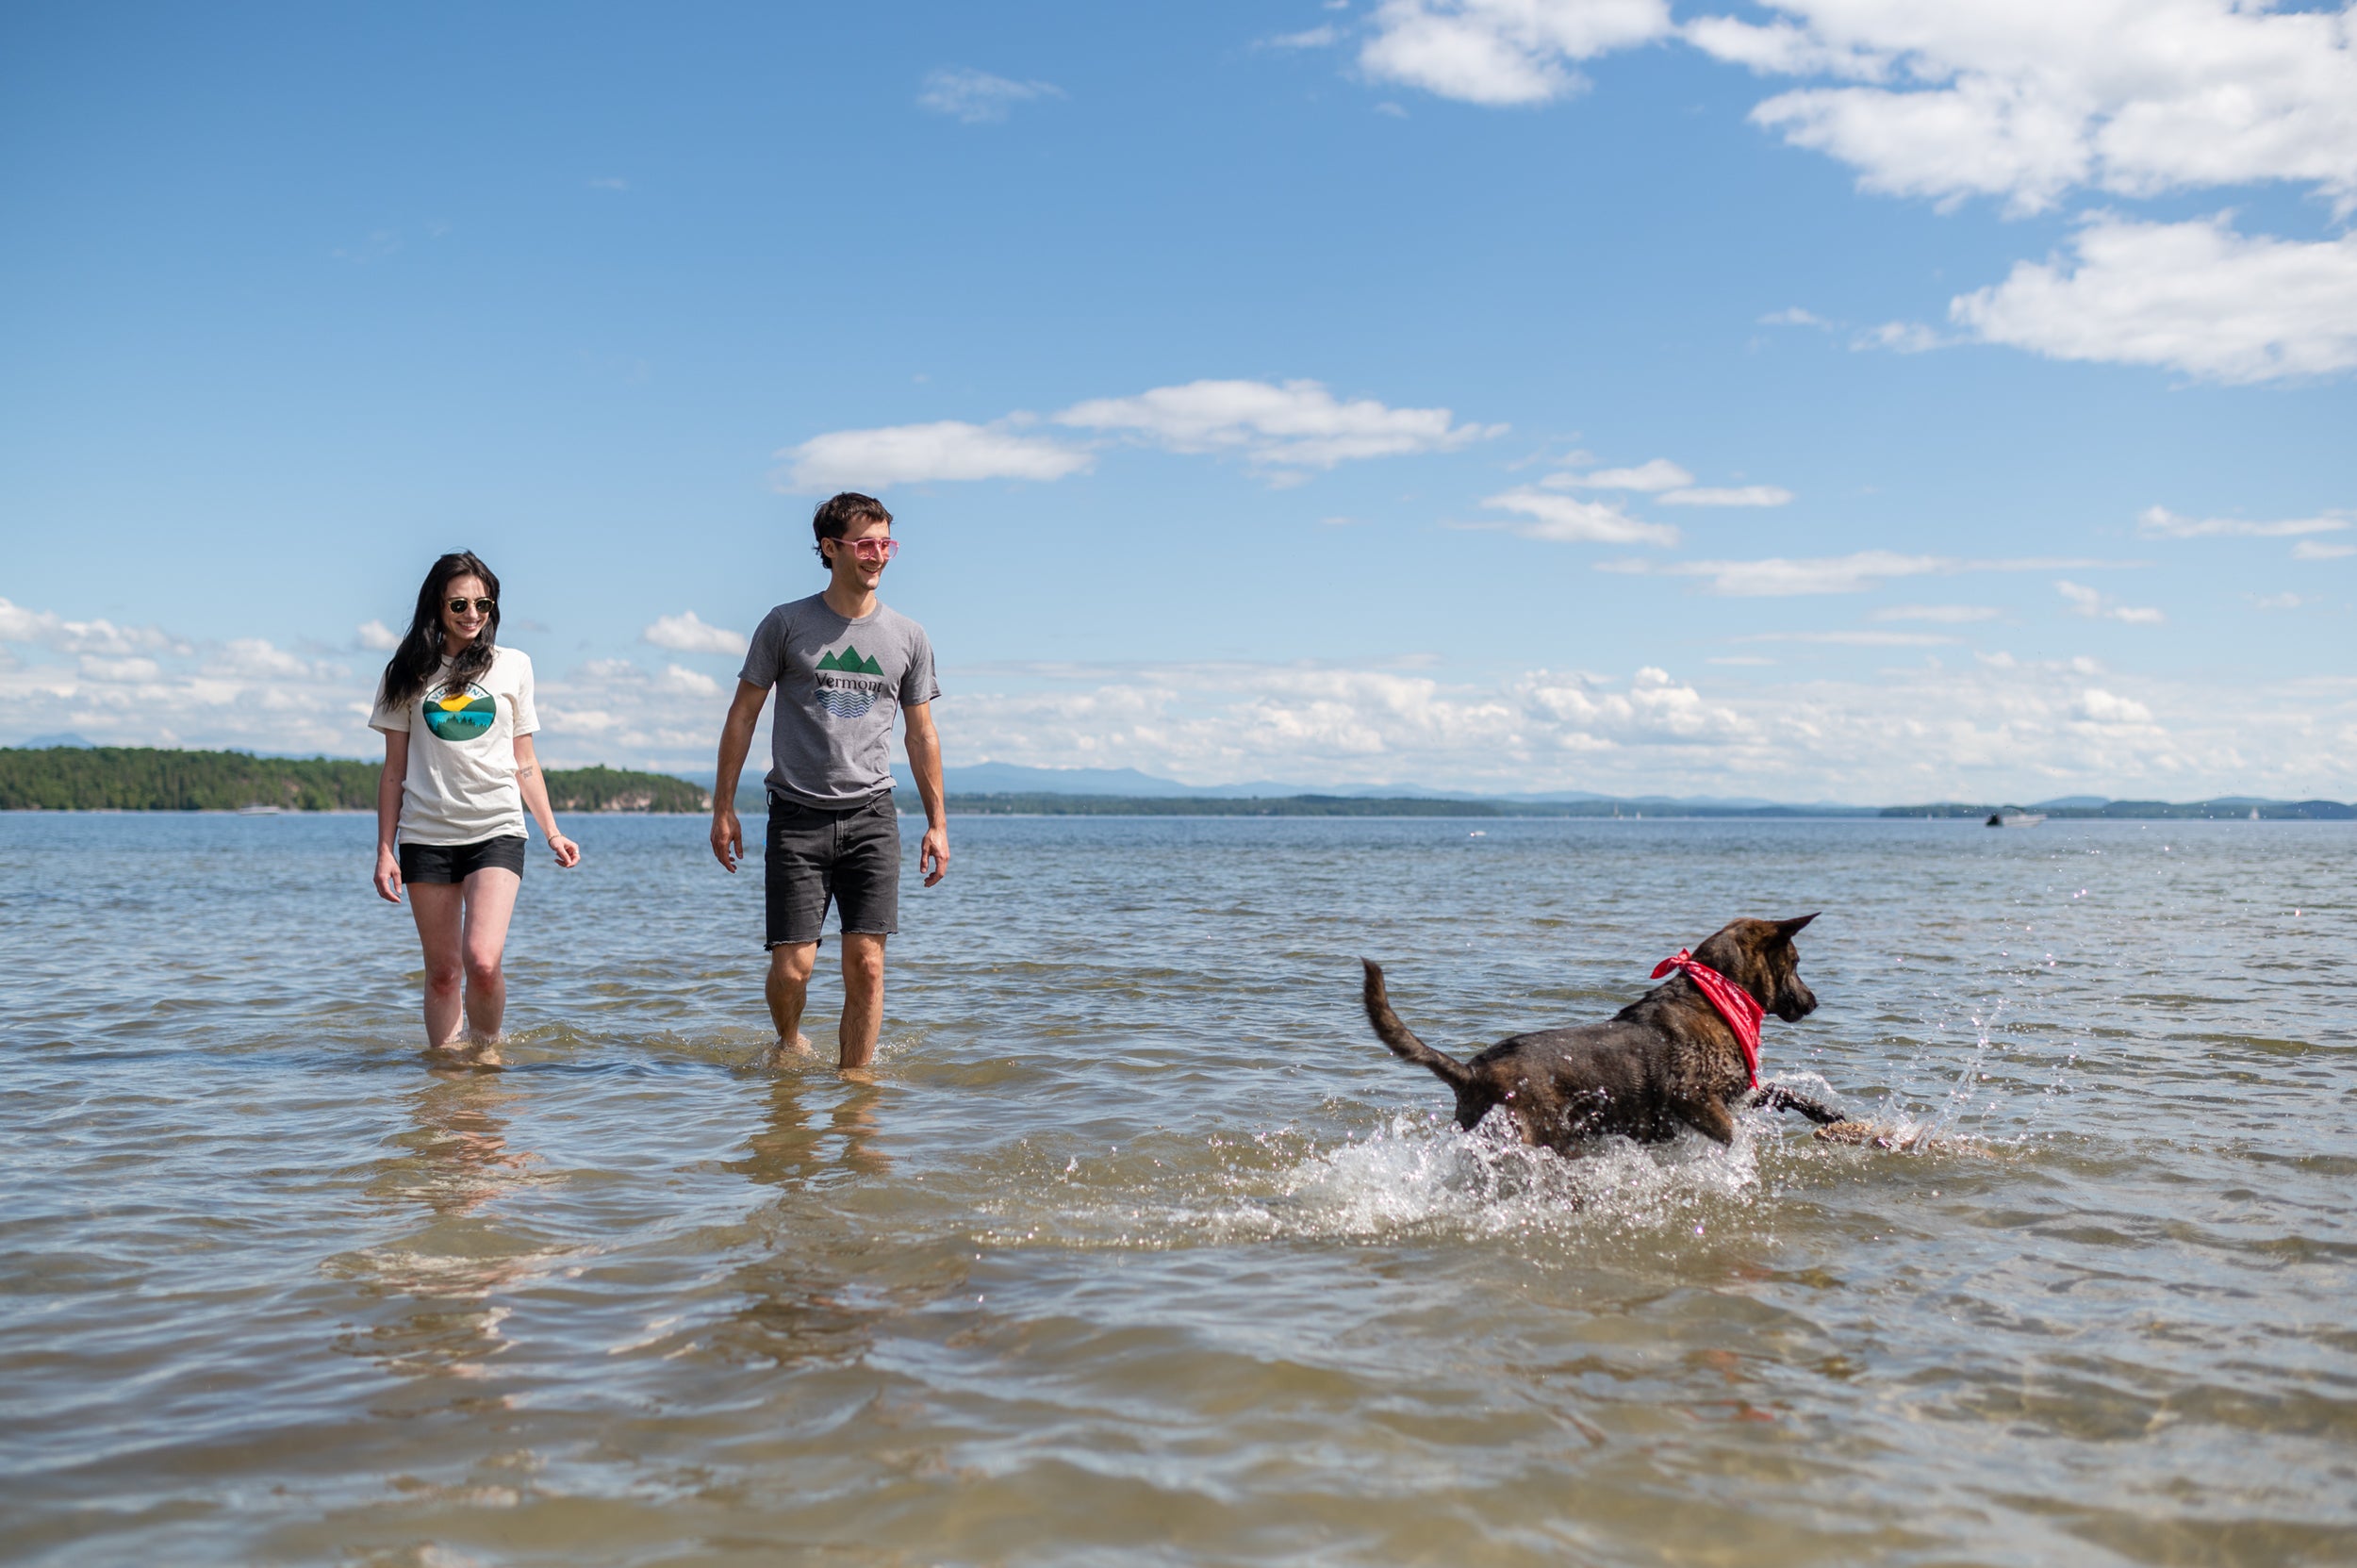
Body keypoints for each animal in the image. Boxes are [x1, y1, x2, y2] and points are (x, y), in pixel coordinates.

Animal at [1367, 919, 1857, 1150]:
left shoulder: (1735, 1091)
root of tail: (1471, 1071)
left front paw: (1827, 1113)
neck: (1716, 995)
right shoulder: (1696, 1100)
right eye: (1795, 963)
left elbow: (1781, 1090)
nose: (1813, 1001)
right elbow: (1733, 1137)